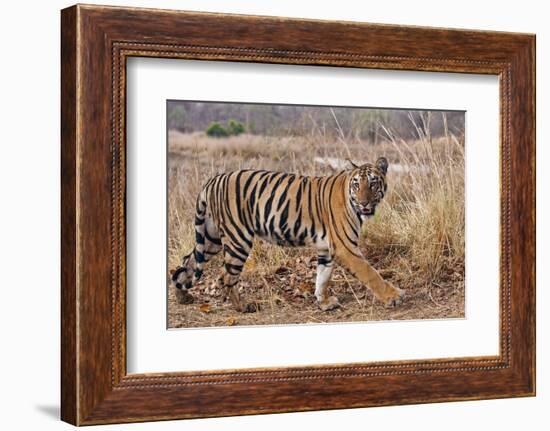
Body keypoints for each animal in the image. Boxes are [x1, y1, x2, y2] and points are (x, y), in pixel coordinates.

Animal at [170, 157, 408, 312]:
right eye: (357, 184)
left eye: (373, 183)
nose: (364, 202)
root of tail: (213, 180)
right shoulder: (345, 247)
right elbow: (371, 273)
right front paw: (394, 296)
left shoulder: (326, 248)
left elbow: (323, 276)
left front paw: (323, 302)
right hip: (238, 238)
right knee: (226, 276)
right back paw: (243, 307)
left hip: (211, 238)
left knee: (187, 261)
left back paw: (183, 296)